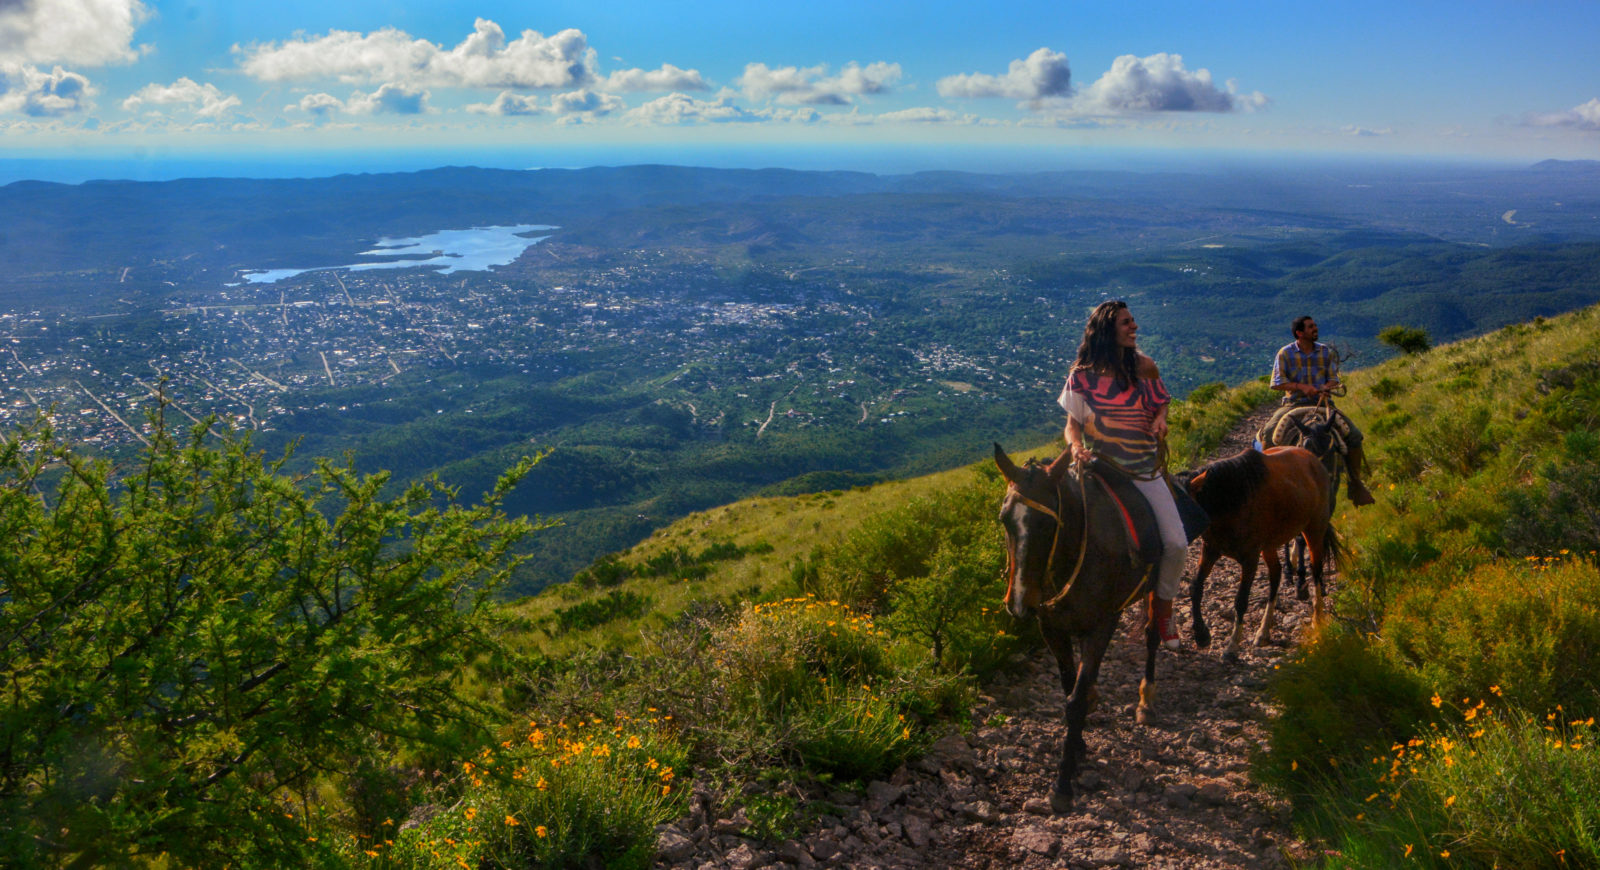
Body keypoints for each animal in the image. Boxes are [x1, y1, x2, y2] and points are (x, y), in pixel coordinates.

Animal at [985, 444, 1164, 812]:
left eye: (1049, 522)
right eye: (1004, 518)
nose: (1020, 602)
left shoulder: (1102, 626)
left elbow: (1076, 701)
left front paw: (1063, 782)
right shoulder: (1051, 628)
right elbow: (1070, 687)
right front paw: (1079, 744)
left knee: (1152, 636)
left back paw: (1146, 700)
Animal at [1177, 447, 1337, 658]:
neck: (1232, 500)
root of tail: (1315, 460)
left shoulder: (1250, 559)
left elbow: (1241, 600)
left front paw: (1232, 645)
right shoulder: (1210, 550)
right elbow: (1196, 587)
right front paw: (1201, 634)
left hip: (1314, 531)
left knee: (1316, 571)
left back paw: (1317, 619)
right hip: (1269, 545)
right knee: (1276, 575)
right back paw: (1264, 631)